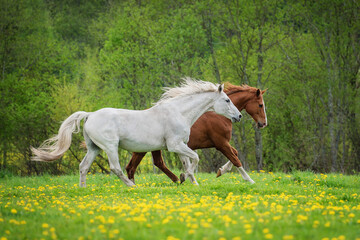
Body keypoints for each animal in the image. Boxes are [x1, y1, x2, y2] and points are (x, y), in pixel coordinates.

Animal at [31, 78, 242, 187]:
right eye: (227, 100)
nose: (239, 116)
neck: (178, 112)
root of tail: (90, 115)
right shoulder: (175, 145)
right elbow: (195, 159)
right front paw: (183, 177)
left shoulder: (180, 146)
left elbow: (189, 161)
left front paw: (191, 183)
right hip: (110, 147)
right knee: (115, 168)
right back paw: (132, 186)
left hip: (93, 148)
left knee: (83, 167)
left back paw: (83, 190)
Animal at [126, 83, 268, 185]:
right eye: (260, 105)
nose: (263, 123)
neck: (217, 116)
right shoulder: (221, 143)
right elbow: (236, 159)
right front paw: (250, 180)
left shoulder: (222, 143)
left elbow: (235, 154)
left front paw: (220, 171)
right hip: (142, 148)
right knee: (132, 167)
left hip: (154, 148)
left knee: (155, 163)